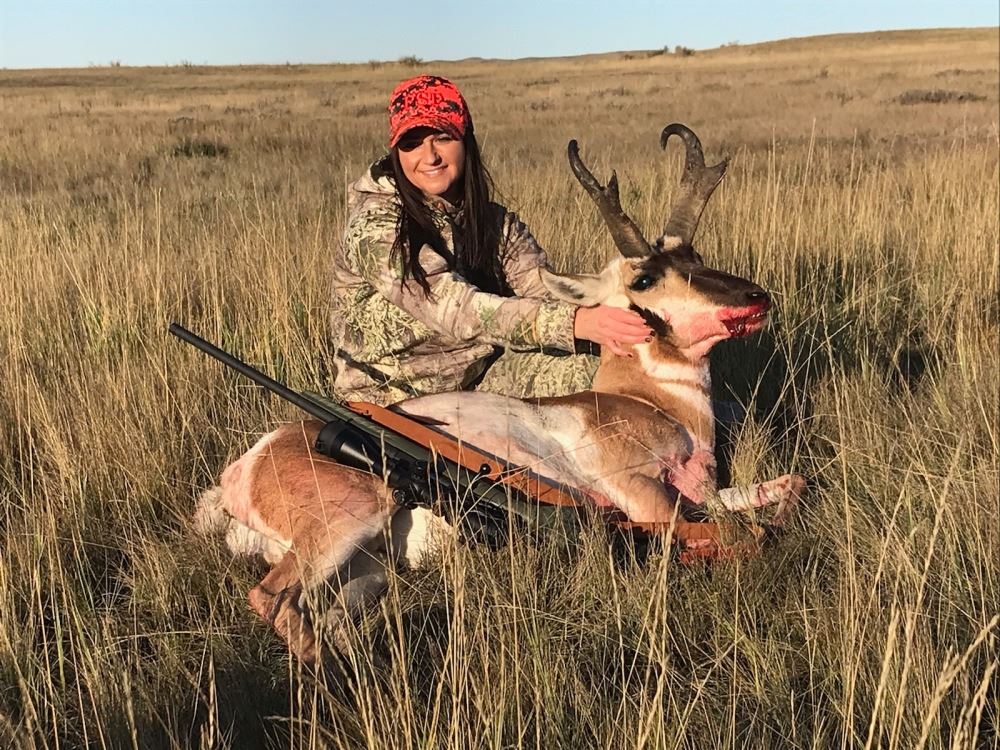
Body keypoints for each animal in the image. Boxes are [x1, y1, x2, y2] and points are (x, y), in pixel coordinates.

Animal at [194, 124, 804, 664]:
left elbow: (786, 488)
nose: (756, 296)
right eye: (644, 279)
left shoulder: (703, 491)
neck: (649, 403)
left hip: (368, 571)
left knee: (326, 614)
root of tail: (249, 463)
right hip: (358, 511)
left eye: (695, 258)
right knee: (271, 598)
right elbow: (740, 534)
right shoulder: (639, 492)